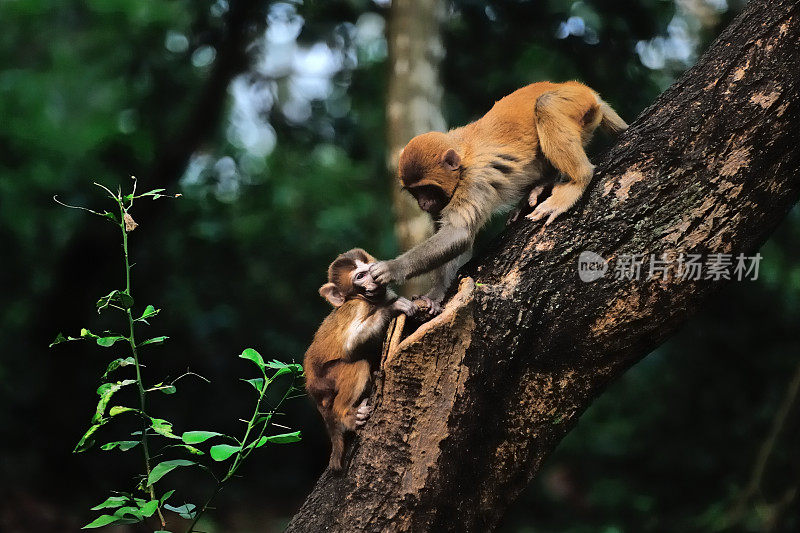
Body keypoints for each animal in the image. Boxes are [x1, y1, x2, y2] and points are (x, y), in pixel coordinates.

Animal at [304, 248, 418, 470]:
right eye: (360, 276)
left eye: (371, 269)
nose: (374, 279)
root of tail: (313, 391)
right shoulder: (357, 307)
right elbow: (350, 344)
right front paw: (393, 307)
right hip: (327, 380)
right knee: (358, 365)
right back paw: (345, 415)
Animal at [368, 79, 624, 304]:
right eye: (415, 192)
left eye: (427, 189)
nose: (423, 204)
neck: (462, 161)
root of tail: (580, 88)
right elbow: (451, 237)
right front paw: (437, 293)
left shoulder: (474, 180)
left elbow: (458, 233)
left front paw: (392, 268)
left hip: (576, 102)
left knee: (547, 104)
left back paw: (578, 181)